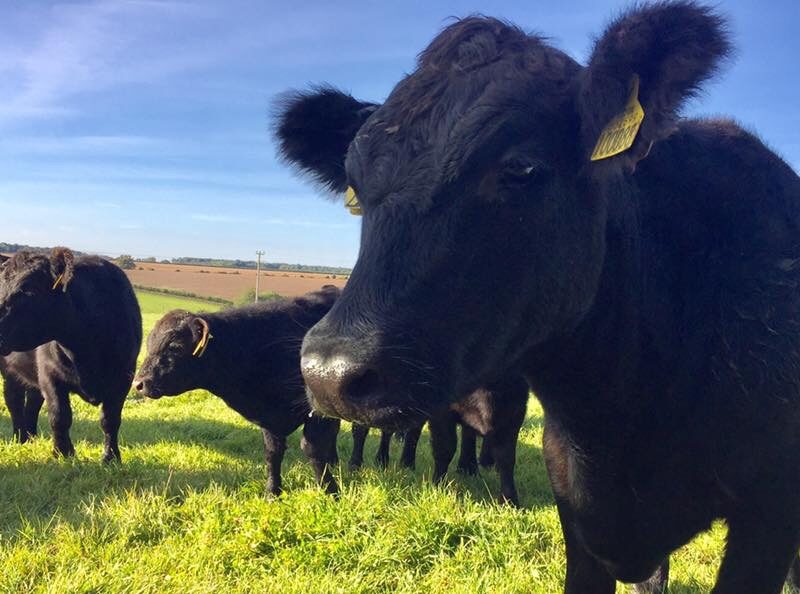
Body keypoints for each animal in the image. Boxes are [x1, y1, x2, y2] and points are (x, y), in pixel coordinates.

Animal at [0, 247, 141, 460]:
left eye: (28, 291)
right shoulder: (50, 374)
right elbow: (59, 416)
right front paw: (63, 453)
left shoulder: (123, 378)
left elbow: (110, 419)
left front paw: (111, 457)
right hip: (10, 371)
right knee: (14, 401)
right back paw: (20, 439)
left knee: (31, 403)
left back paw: (31, 438)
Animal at [130, 286, 340, 494]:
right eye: (149, 345)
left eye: (174, 346)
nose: (138, 383)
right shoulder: (269, 420)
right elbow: (273, 453)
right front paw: (272, 491)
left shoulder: (316, 412)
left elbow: (312, 448)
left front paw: (330, 491)